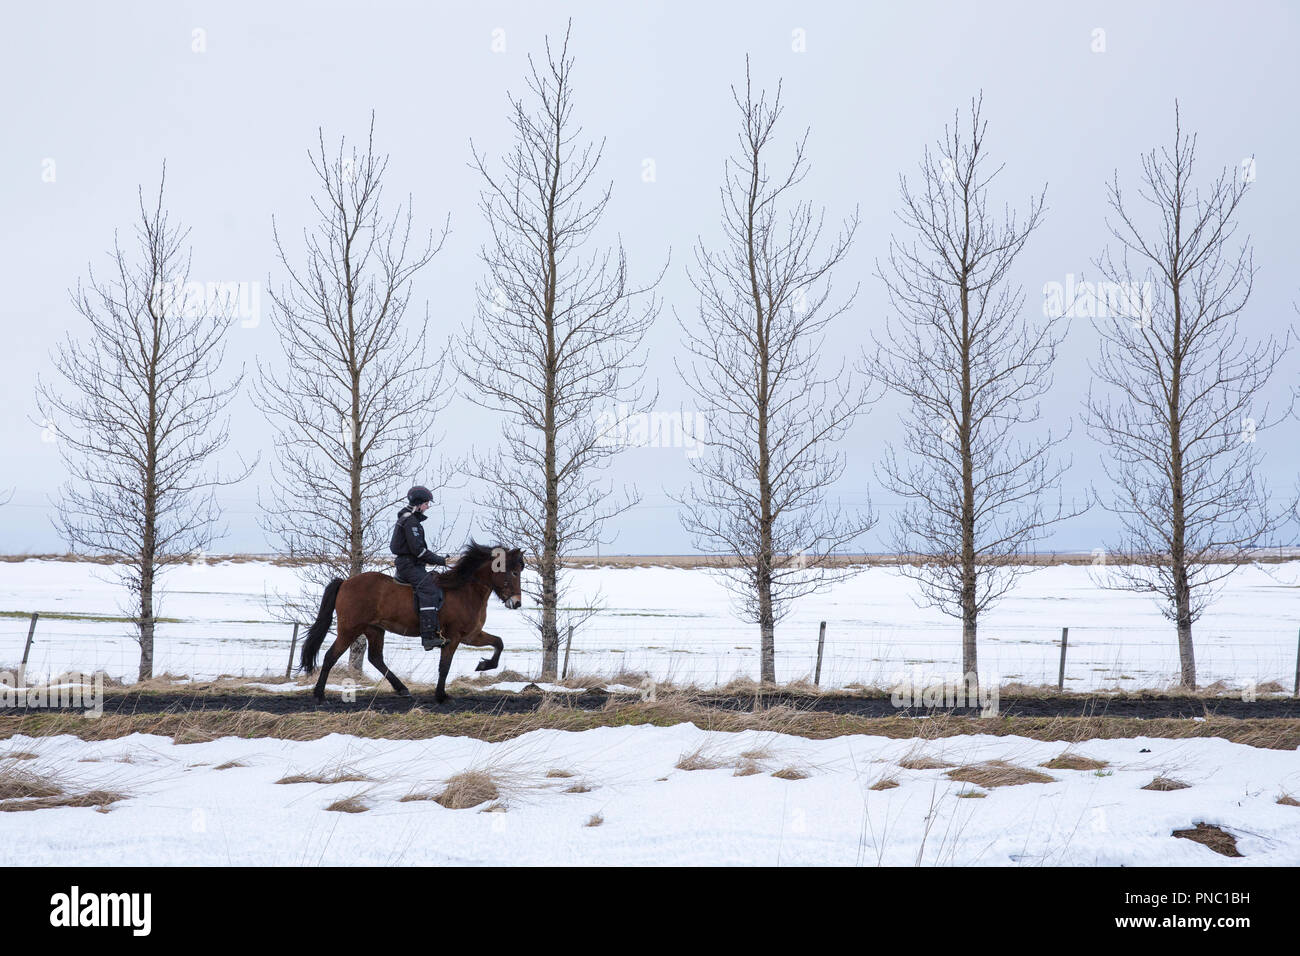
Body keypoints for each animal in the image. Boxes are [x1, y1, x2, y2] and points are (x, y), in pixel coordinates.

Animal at [301, 541, 525, 707]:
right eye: (514, 572)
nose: (516, 603)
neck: (465, 589)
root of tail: (345, 583)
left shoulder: (471, 636)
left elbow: (499, 643)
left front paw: (484, 665)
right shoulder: (453, 637)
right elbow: (444, 666)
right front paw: (441, 696)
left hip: (374, 630)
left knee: (376, 658)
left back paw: (402, 689)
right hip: (349, 630)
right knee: (331, 656)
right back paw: (319, 695)